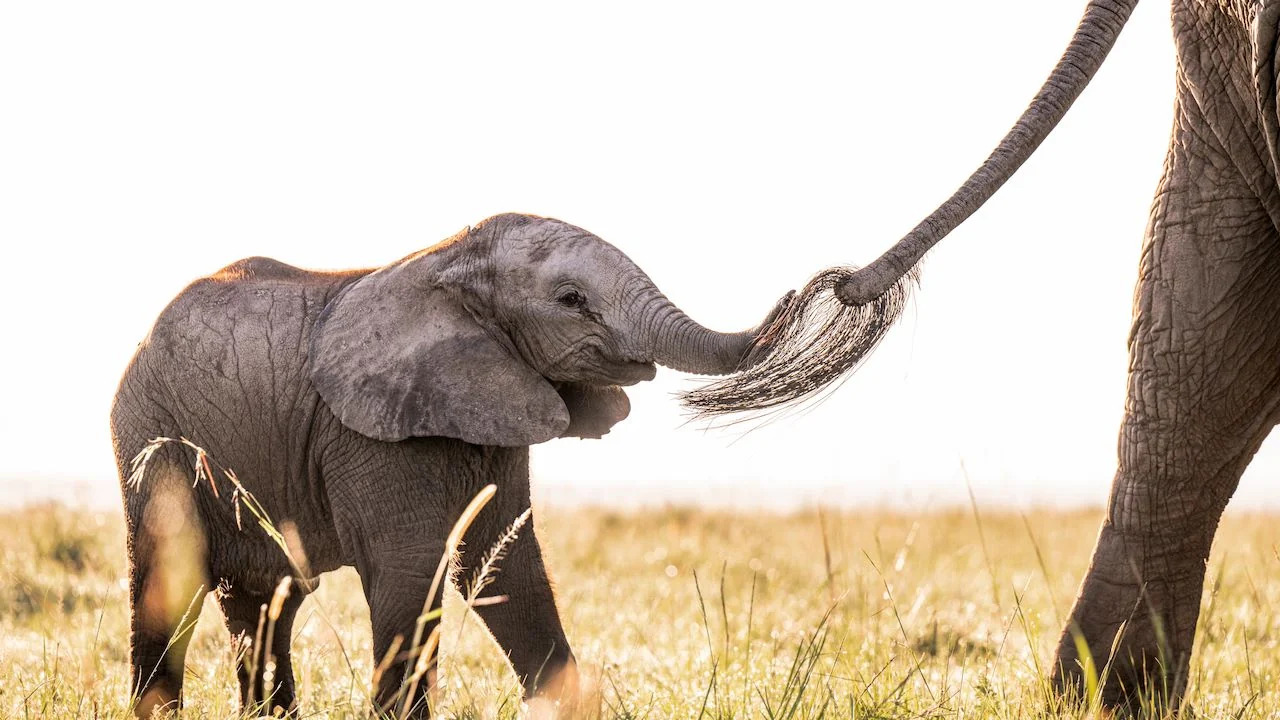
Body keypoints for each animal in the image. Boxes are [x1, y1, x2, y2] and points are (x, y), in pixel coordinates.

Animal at [111, 212, 789, 717]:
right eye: (571, 300)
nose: (804, 291)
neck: (444, 262)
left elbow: (509, 571)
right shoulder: (369, 435)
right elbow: (411, 573)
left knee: (266, 602)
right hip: (150, 434)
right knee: (169, 581)